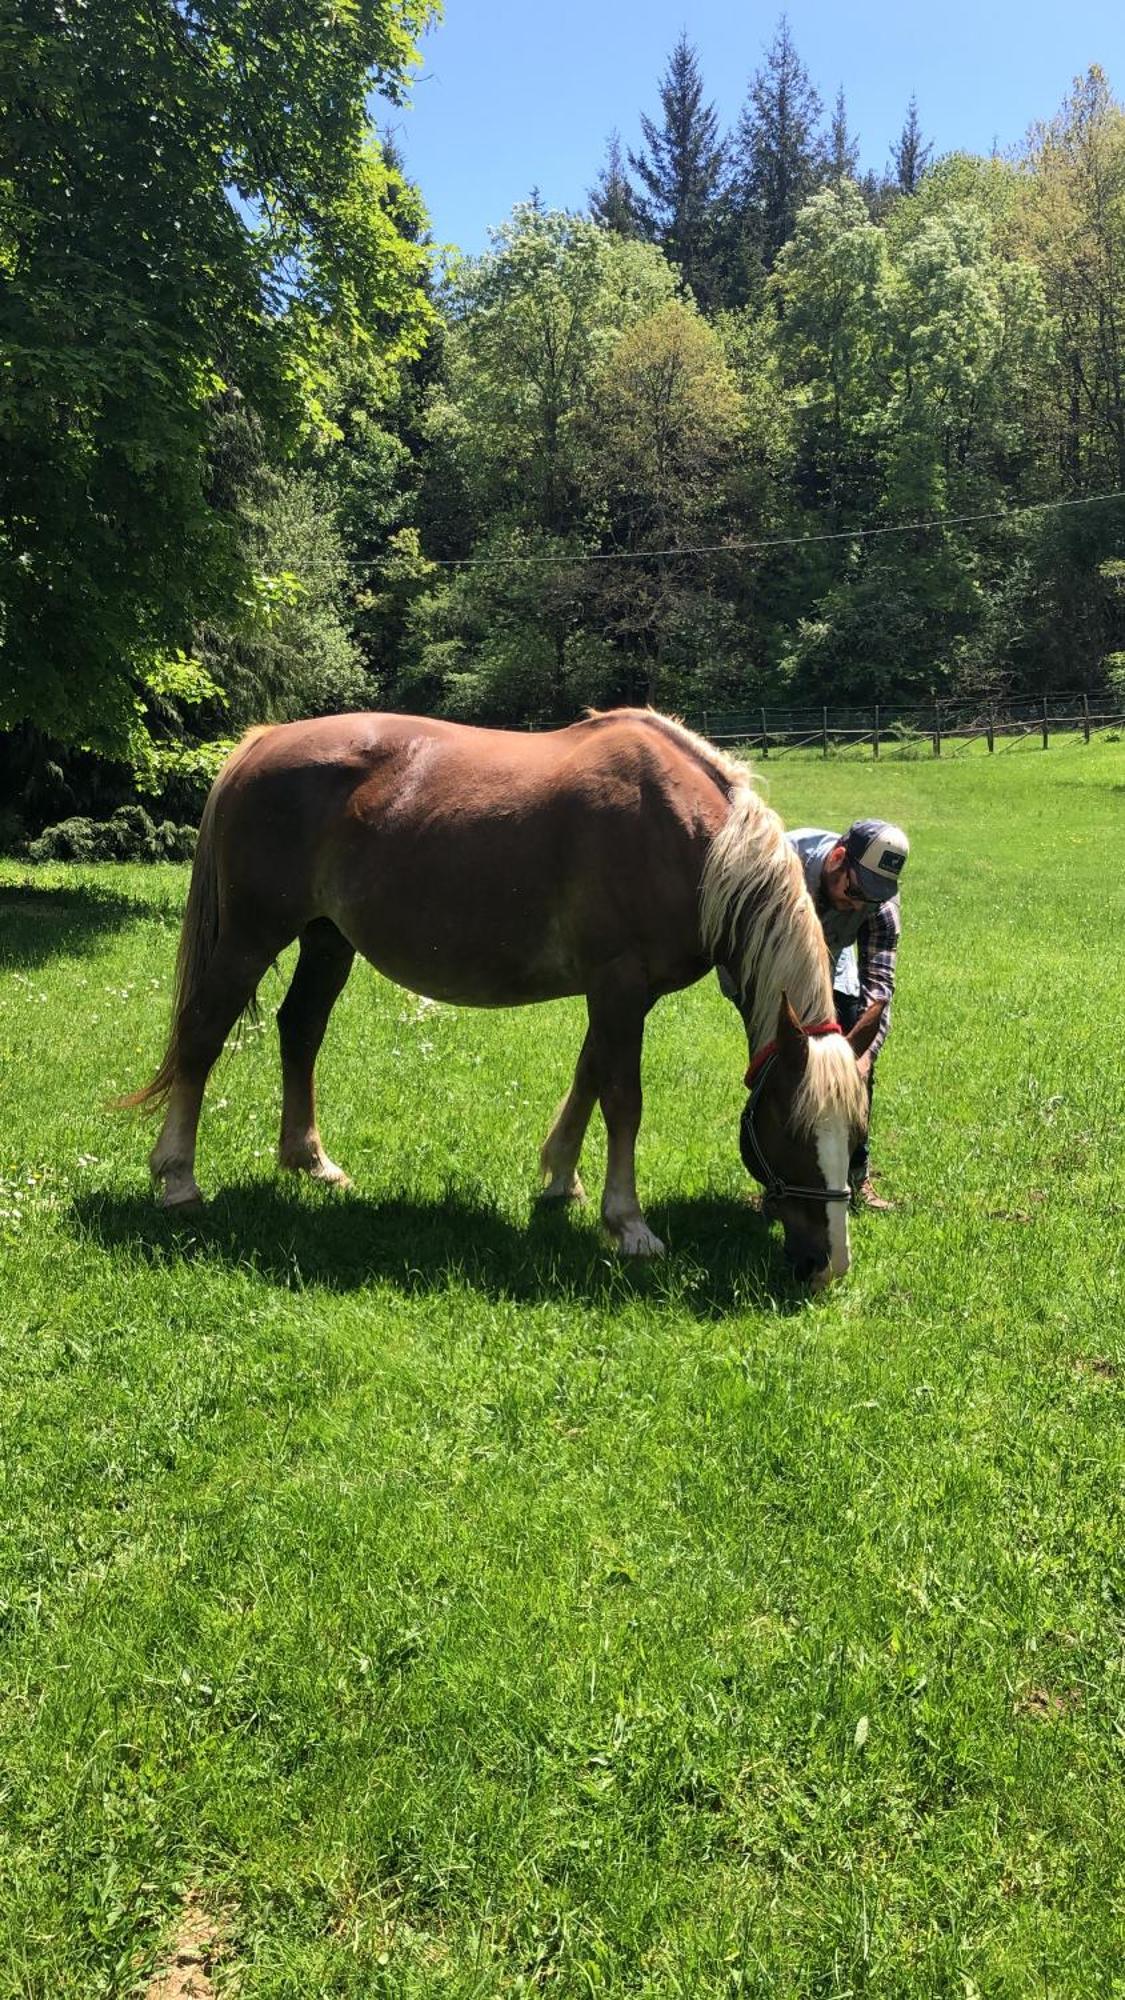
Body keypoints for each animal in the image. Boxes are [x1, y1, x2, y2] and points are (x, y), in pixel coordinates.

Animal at [120, 712, 876, 1288]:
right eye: (792, 1134)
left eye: (858, 1138)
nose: (828, 1266)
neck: (692, 841)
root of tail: (262, 741)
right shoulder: (620, 985)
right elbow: (622, 1099)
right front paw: (628, 1223)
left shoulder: (615, 995)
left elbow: (588, 1078)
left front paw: (561, 1181)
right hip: (252, 936)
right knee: (202, 1033)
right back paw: (177, 1179)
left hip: (327, 939)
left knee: (300, 1029)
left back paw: (310, 1160)